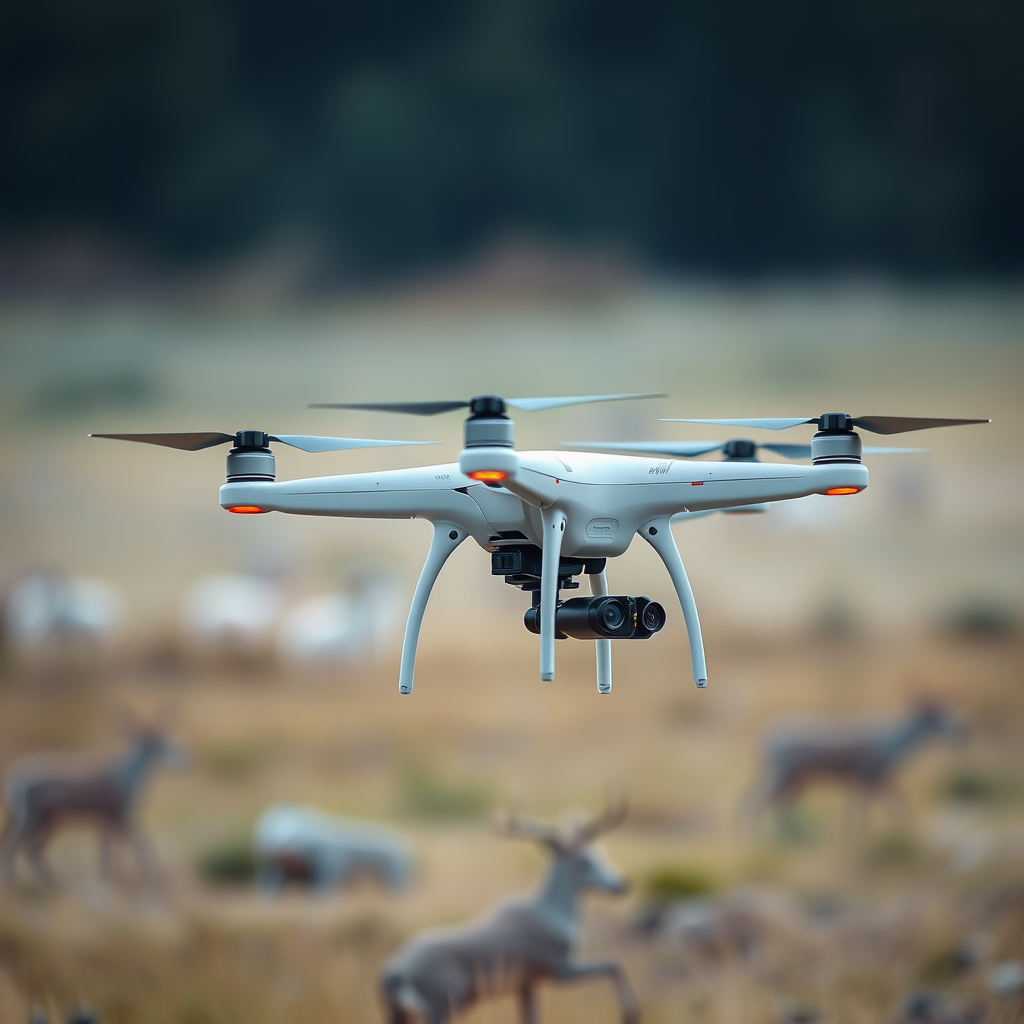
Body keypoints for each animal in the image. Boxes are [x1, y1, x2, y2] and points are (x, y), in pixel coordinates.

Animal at [1, 714, 186, 888]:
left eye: (169, 742)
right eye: (162, 746)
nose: (187, 761)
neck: (125, 775)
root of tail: (15, 776)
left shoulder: (110, 820)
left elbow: (115, 853)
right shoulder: (119, 817)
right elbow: (134, 848)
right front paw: (148, 881)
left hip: (46, 822)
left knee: (29, 851)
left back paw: (51, 885)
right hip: (33, 820)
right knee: (14, 849)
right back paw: (16, 888)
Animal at [379, 797, 639, 1024]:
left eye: (601, 853)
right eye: (584, 861)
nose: (621, 884)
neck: (551, 912)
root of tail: (394, 970)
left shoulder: (527, 986)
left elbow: (532, 1018)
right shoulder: (562, 971)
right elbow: (613, 964)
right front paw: (630, 1014)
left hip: (400, 1014)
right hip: (441, 1010)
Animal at [742, 699, 964, 832]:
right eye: (936, 716)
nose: (964, 731)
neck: (891, 739)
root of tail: (766, 736)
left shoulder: (875, 780)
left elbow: (894, 805)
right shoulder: (869, 777)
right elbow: (868, 810)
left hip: (795, 781)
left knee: (773, 804)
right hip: (784, 778)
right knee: (760, 803)